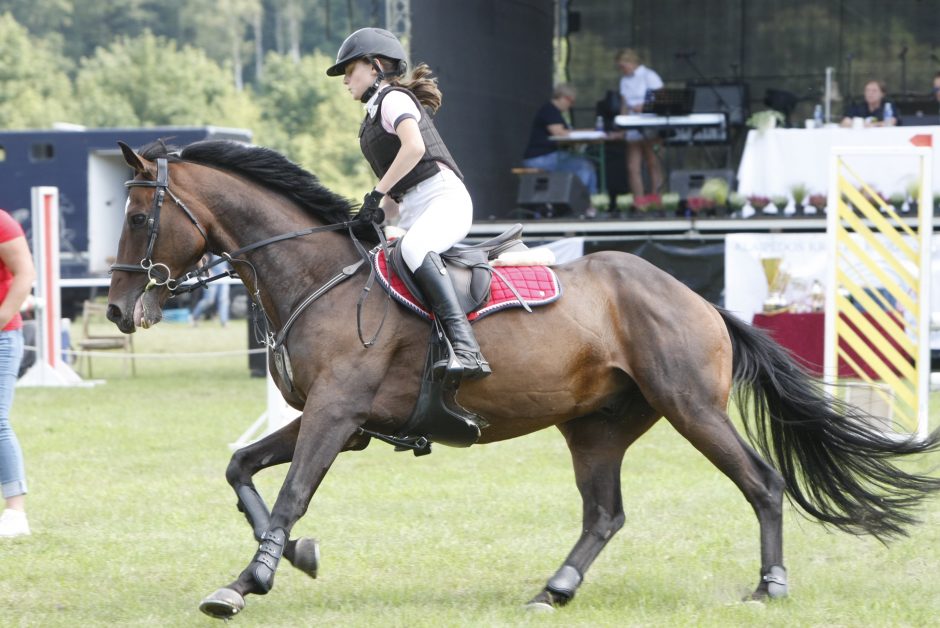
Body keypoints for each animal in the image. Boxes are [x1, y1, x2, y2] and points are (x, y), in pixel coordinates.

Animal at [104, 141, 940, 620]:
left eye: (140, 216)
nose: (116, 308)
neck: (320, 277)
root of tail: (700, 299)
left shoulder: (336, 416)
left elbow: (289, 494)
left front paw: (246, 581)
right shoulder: (334, 422)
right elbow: (242, 469)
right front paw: (294, 558)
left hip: (690, 407)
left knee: (761, 481)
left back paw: (770, 586)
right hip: (596, 424)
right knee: (604, 514)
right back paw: (553, 591)